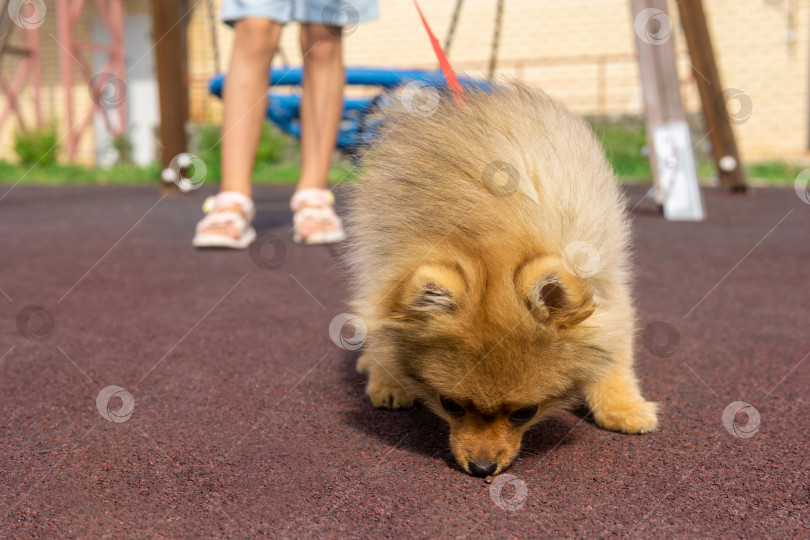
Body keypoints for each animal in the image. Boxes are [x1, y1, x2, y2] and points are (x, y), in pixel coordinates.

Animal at [342, 81, 656, 476]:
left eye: (525, 413)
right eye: (450, 405)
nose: (481, 468)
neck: (492, 232)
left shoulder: (606, 280)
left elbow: (615, 351)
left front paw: (622, 406)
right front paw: (388, 373)